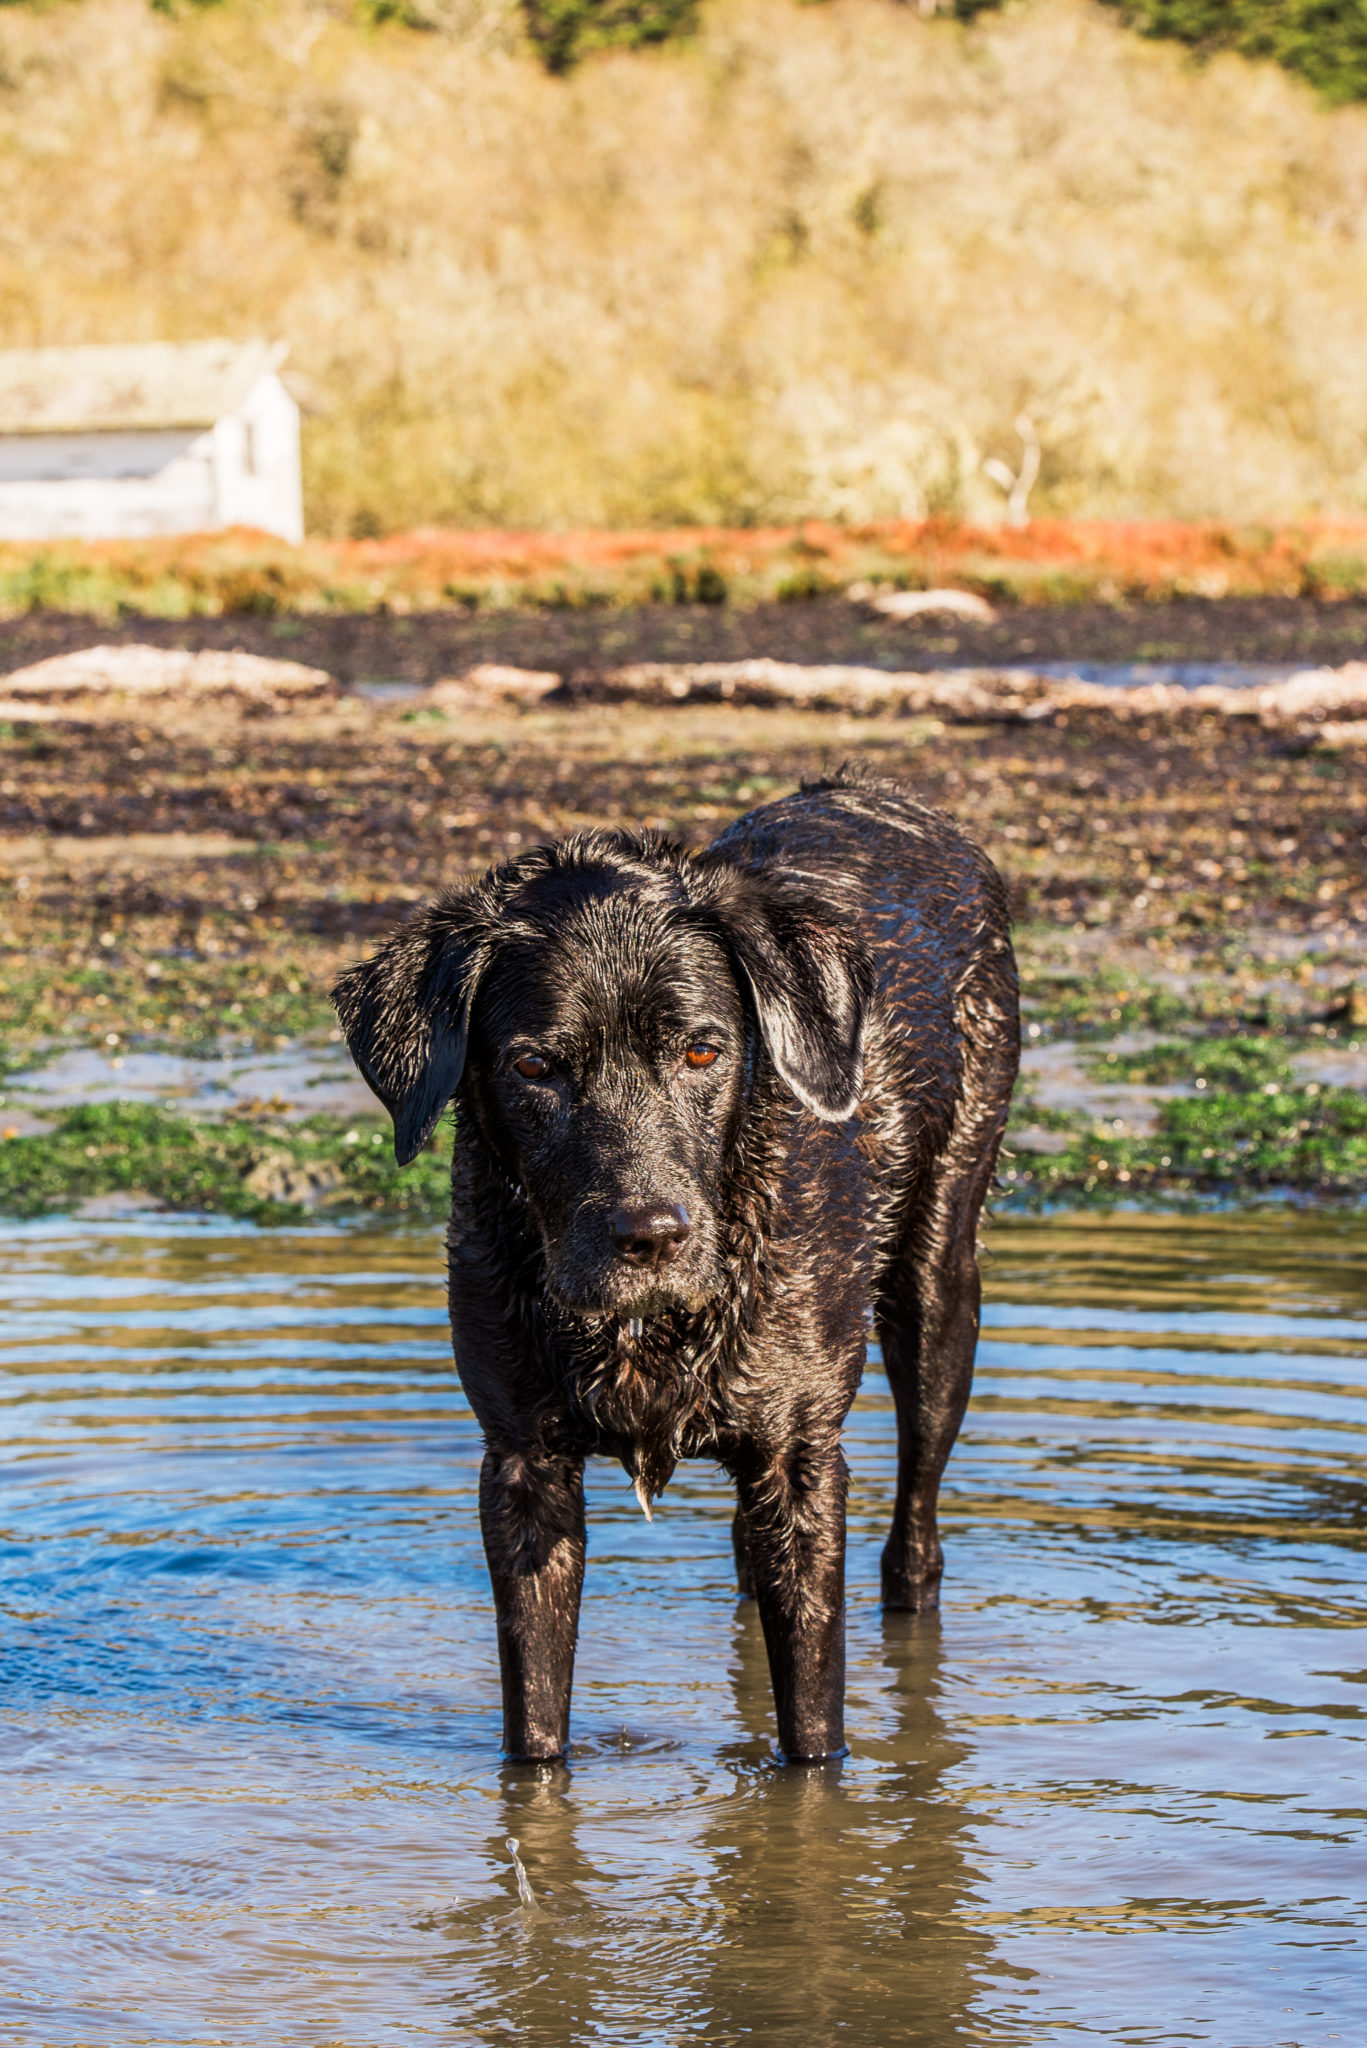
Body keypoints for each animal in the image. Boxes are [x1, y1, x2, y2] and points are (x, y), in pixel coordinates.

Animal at [334, 770, 1016, 1761]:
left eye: (701, 1049)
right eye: (534, 1066)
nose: (650, 1235)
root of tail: (878, 794)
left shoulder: (802, 1463)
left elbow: (814, 1733)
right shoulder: (523, 1466)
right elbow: (534, 1725)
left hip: (936, 1286)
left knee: (914, 1536)